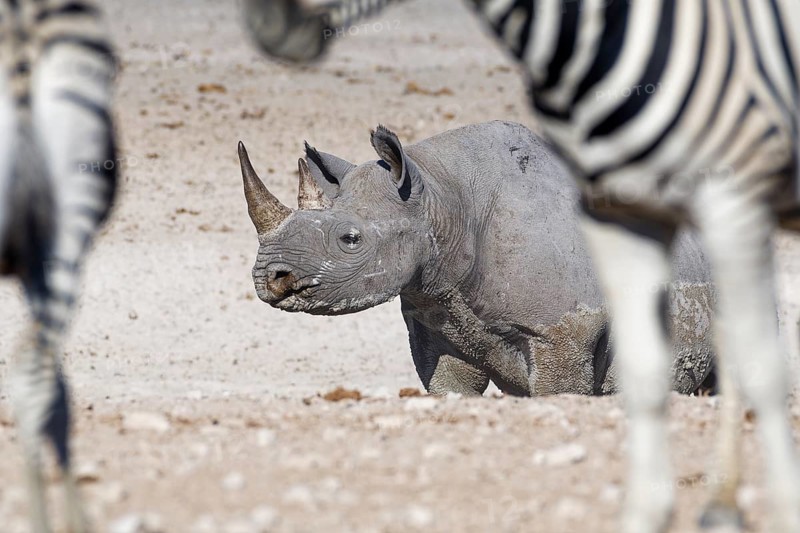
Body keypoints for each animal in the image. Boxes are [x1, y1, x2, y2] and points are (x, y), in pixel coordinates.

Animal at [238, 121, 715, 397]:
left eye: (350, 239)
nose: (269, 278)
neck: (440, 198)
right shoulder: (437, 321)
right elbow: (450, 388)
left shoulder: (564, 332)